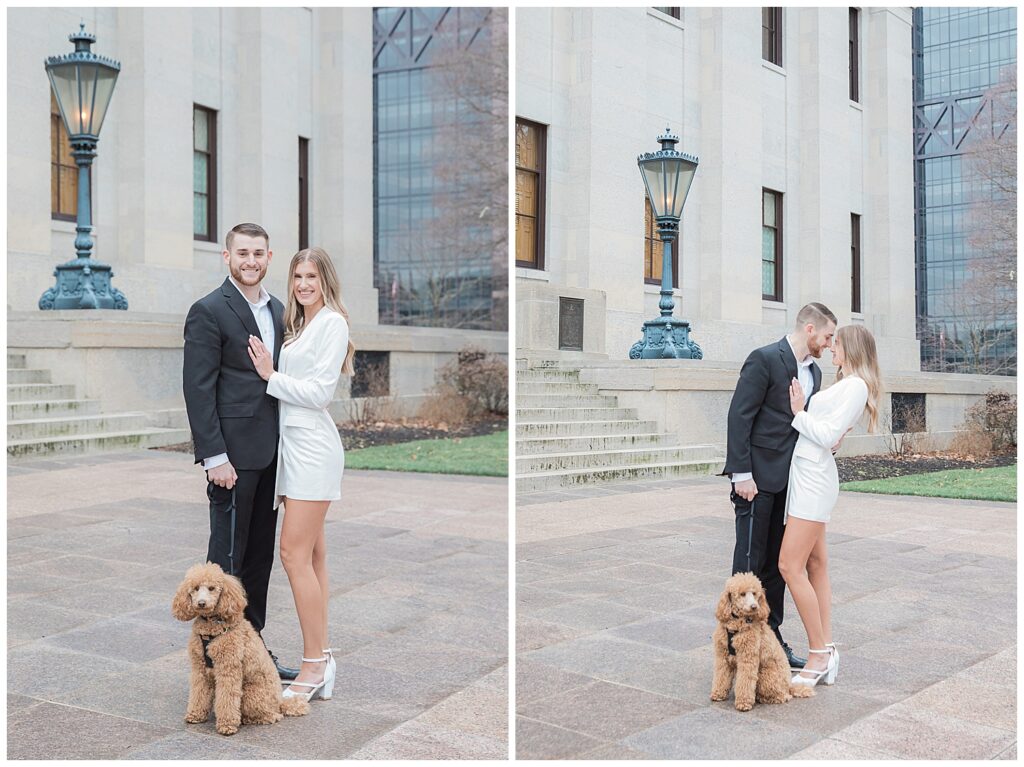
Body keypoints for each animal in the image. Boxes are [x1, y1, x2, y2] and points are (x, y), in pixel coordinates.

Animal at [171, 561, 307, 733]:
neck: (212, 626)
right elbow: (198, 692)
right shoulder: (199, 669)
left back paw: (250, 719)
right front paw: (195, 714)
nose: (201, 603)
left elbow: (227, 698)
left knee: (272, 716)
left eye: (211, 588)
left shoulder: (228, 668)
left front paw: (227, 724)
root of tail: (281, 702)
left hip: (250, 694)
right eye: (195, 588)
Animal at [708, 573, 811, 708]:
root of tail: (789, 687)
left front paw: (744, 702)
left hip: (764, 676)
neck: (738, 623)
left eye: (755, 593)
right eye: (742, 594)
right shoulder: (722, 656)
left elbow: (745, 681)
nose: (754, 606)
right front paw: (718, 694)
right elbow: (721, 676)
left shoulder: (748, 658)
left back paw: (764, 698)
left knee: (783, 697)